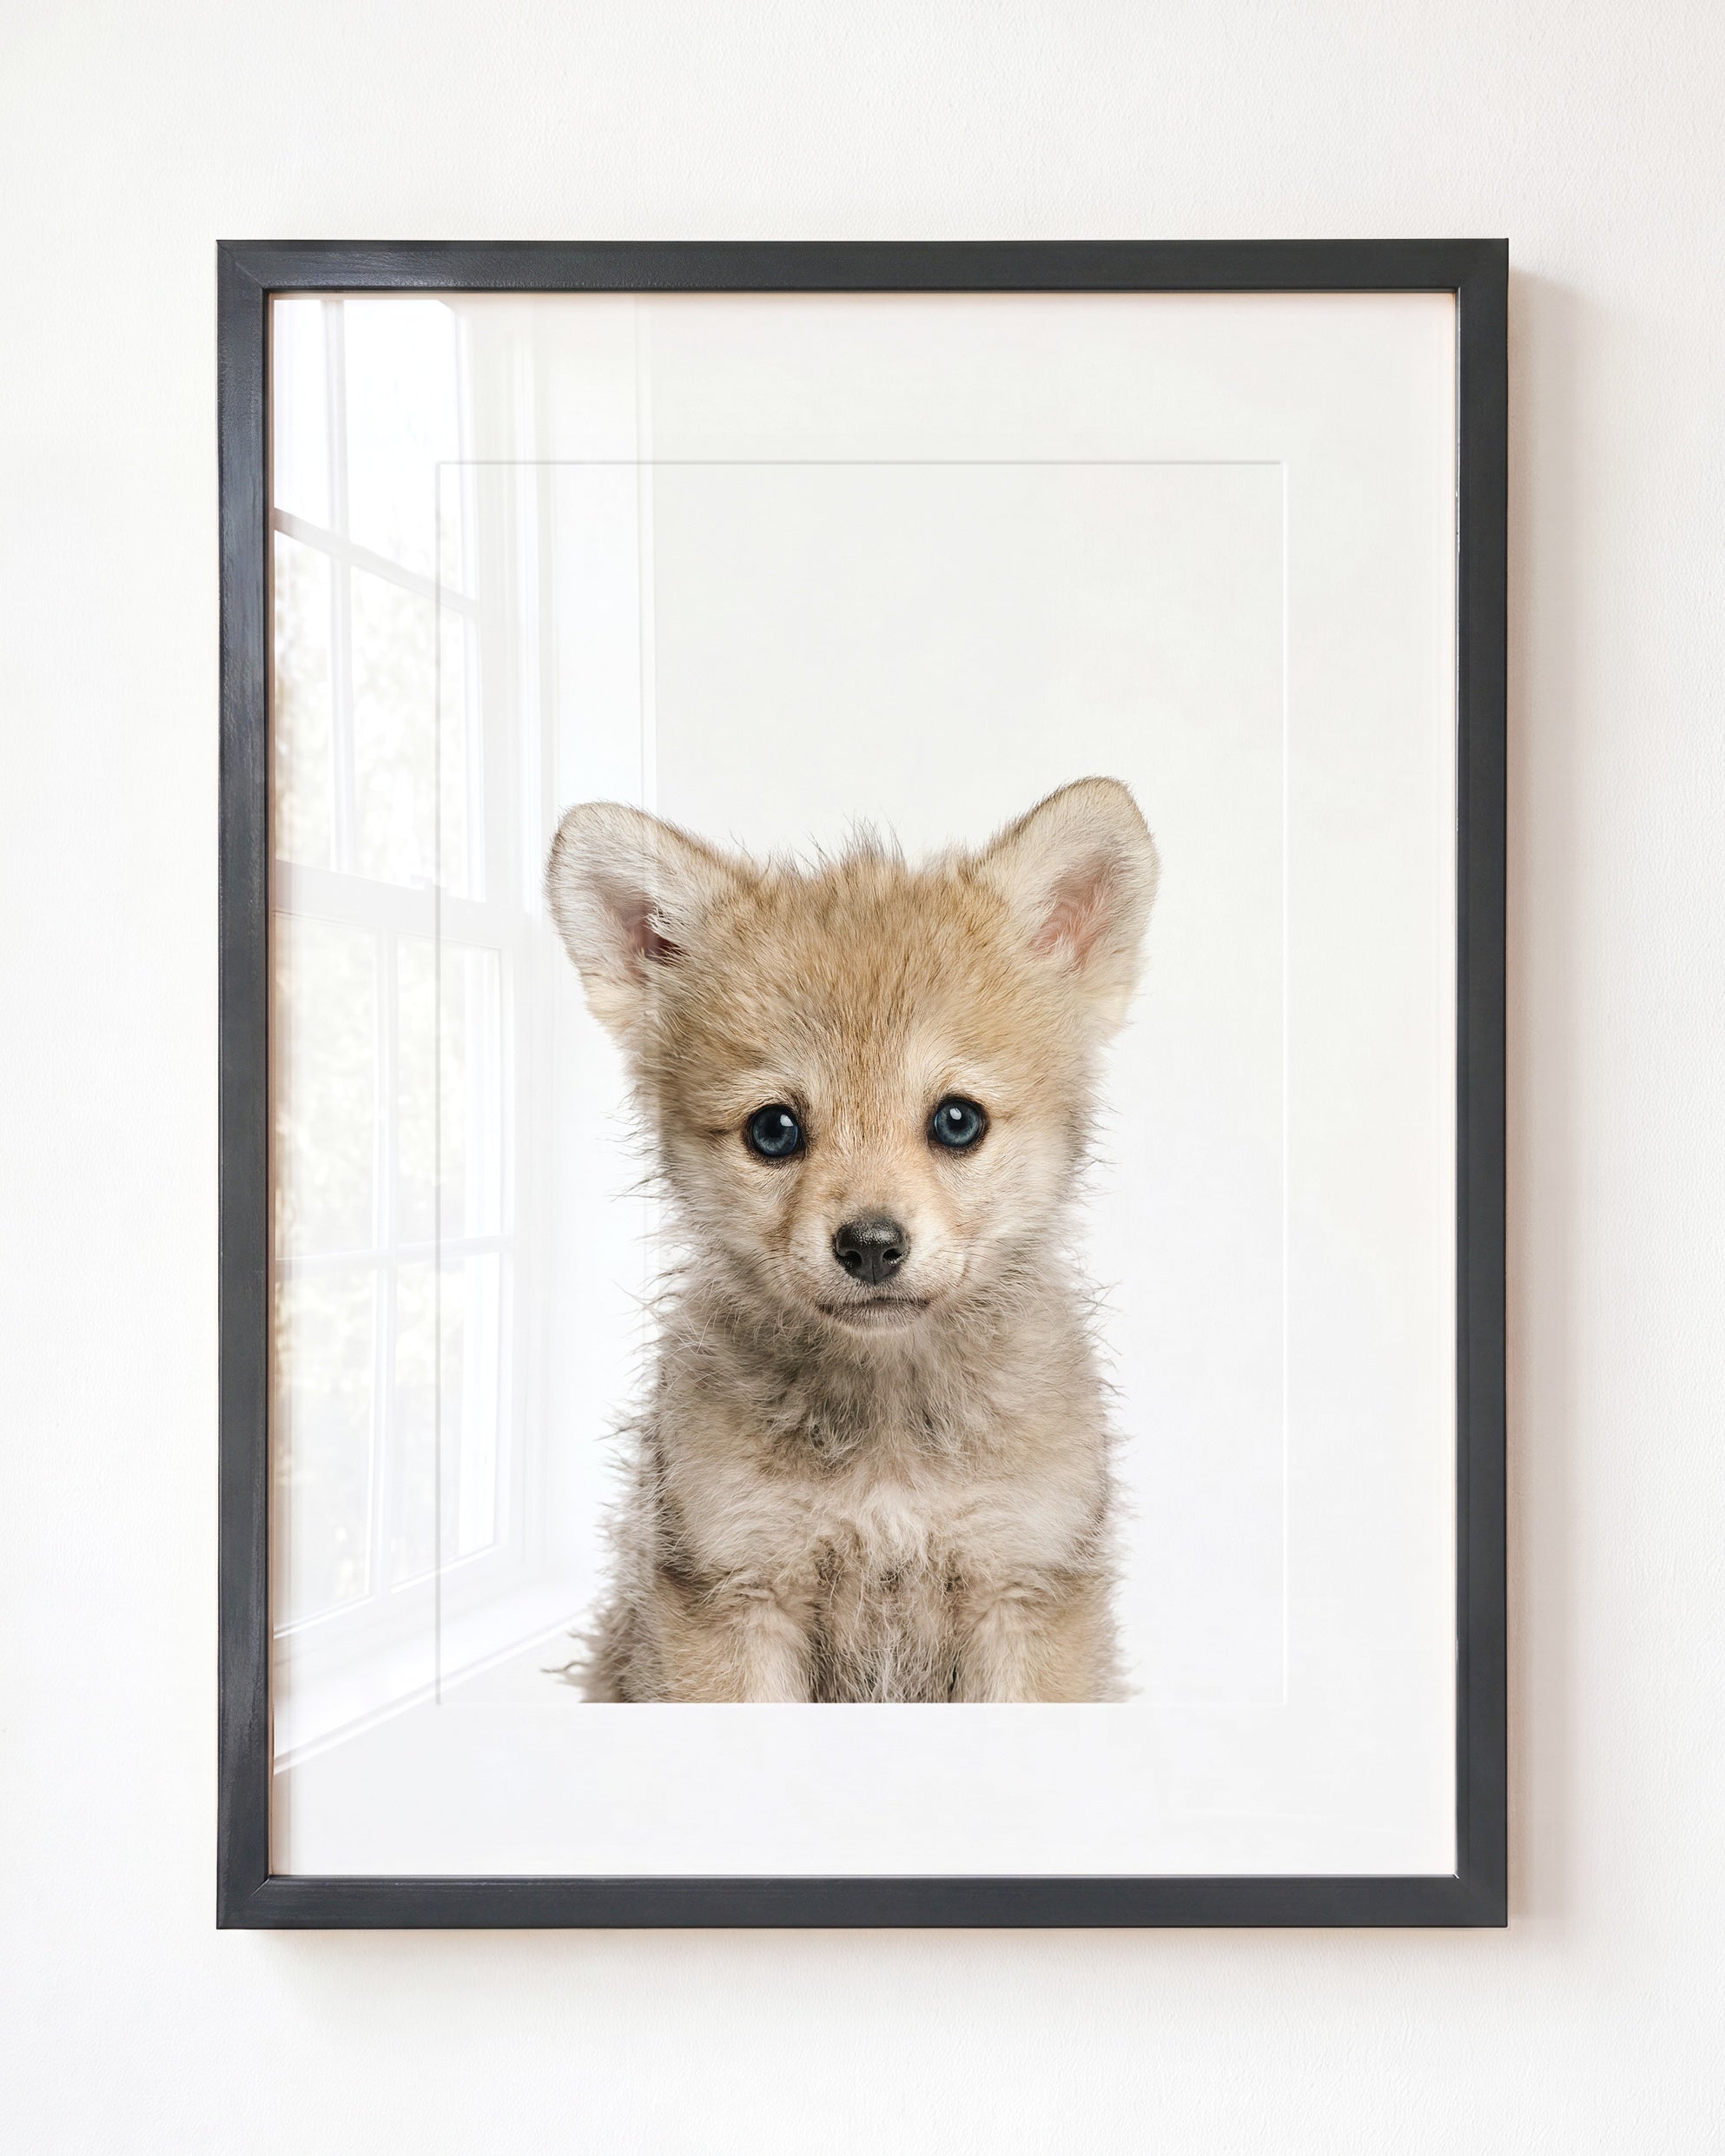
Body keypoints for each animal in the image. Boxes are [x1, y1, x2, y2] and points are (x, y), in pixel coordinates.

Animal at [545, 777, 1158, 1702]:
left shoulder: (1023, 1589)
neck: (888, 1442)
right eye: (773, 1131)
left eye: (957, 1121)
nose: (871, 1245)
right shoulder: (736, 1593)